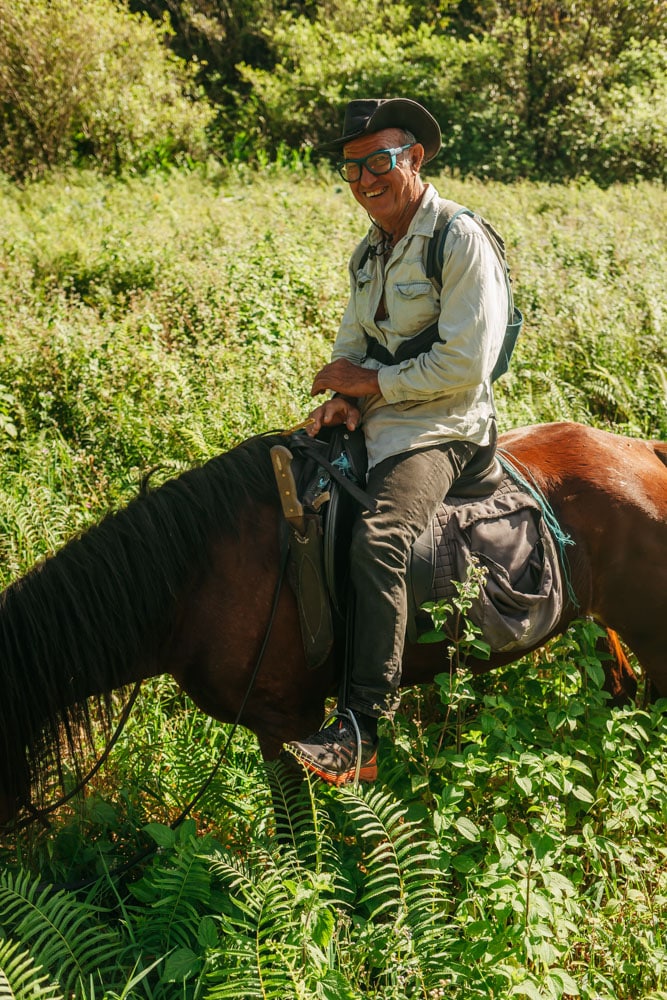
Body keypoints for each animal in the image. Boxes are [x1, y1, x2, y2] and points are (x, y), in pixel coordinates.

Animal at [1, 418, 667, 824]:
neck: (196, 584)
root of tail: (645, 451)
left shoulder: (282, 722)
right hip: (600, 623)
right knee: (619, 687)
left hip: (654, 638)